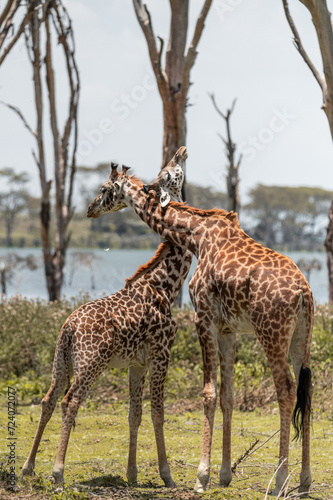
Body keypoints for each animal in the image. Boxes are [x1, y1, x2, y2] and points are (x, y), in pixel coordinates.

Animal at [22, 236, 191, 486]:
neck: (163, 288)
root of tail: (70, 327)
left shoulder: (137, 365)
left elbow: (134, 414)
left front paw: (132, 474)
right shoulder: (161, 355)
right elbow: (158, 413)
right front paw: (166, 475)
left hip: (61, 362)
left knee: (48, 400)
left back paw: (28, 467)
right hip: (91, 364)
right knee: (70, 401)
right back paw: (58, 471)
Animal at [87, 146, 312, 498]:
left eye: (104, 188)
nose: (90, 209)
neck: (196, 235)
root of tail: (304, 292)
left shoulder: (202, 315)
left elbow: (207, 391)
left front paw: (201, 477)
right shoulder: (228, 328)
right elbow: (228, 395)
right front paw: (224, 474)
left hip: (271, 333)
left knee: (286, 389)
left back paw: (280, 481)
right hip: (303, 335)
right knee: (306, 390)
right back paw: (304, 480)